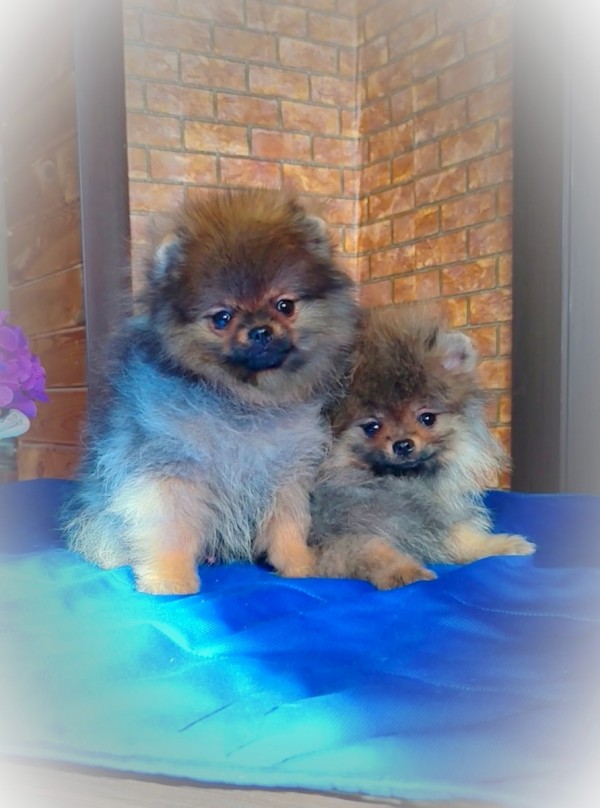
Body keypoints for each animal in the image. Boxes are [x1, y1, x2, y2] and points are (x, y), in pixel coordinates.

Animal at [62, 188, 358, 595]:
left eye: (284, 305)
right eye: (222, 318)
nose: (261, 330)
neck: (240, 401)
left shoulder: (286, 472)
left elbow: (288, 526)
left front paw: (300, 566)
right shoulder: (169, 470)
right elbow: (169, 529)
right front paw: (169, 580)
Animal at [309, 307, 535, 589]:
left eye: (427, 418)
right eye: (372, 427)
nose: (403, 444)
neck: (398, 485)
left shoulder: (433, 521)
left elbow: (463, 539)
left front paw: (502, 544)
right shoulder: (336, 538)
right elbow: (372, 549)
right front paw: (404, 571)